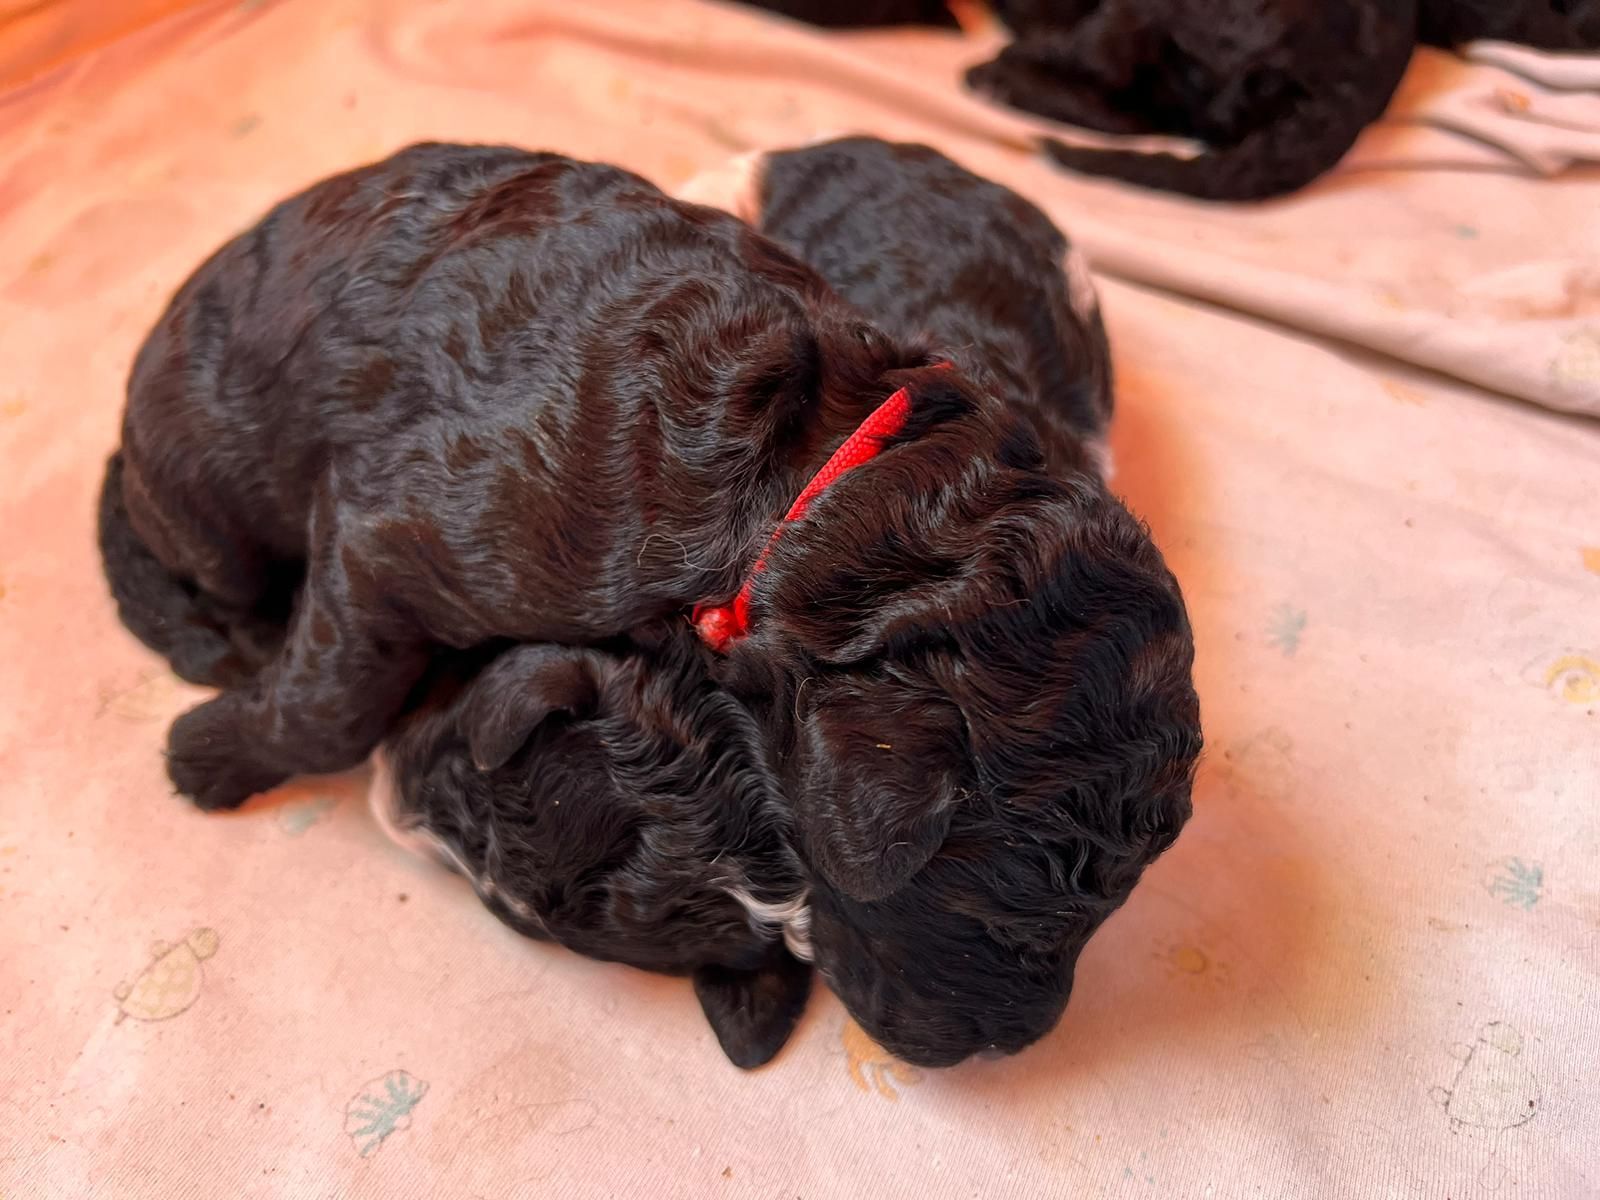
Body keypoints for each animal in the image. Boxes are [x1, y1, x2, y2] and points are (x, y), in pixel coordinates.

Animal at [102, 139, 1200, 1068]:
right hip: (203, 485)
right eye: (1001, 910)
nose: (1008, 1044)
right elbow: (330, 704)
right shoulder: (396, 539)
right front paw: (205, 759)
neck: (818, 488)